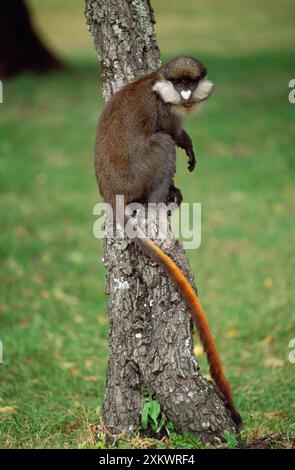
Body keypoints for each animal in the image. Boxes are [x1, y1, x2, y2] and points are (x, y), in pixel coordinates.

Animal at [95, 57, 243, 428]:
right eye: (179, 84)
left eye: (191, 82)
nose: (187, 95)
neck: (156, 82)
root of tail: (111, 195)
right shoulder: (164, 110)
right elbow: (173, 134)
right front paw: (187, 144)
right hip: (138, 175)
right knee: (161, 144)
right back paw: (160, 199)